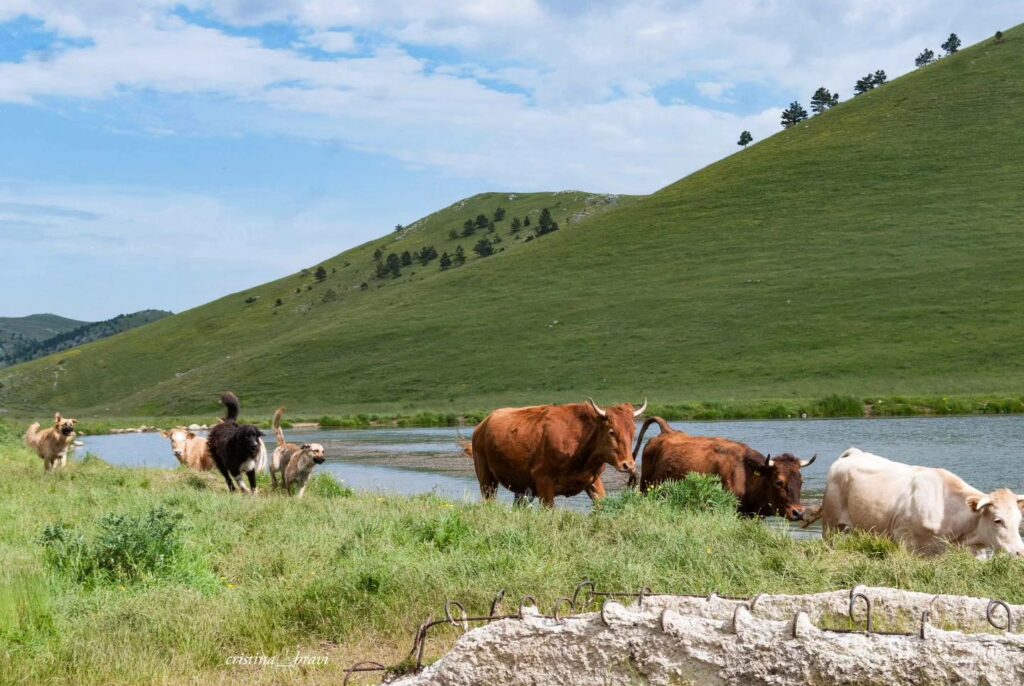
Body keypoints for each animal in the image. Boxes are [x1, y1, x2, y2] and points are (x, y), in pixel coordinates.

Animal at [466, 401, 643, 507]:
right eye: (612, 431)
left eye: (633, 431)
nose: (628, 464)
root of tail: (482, 425)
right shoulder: (543, 482)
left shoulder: (592, 480)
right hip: (486, 479)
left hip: (521, 489)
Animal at [630, 415, 815, 524]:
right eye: (778, 482)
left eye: (801, 481)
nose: (798, 513)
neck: (745, 474)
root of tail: (667, 431)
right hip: (645, 488)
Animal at [815, 450, 1024, 556]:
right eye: (998, 520)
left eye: (1019, 521)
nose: (1019, 552)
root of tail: (854, 453)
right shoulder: (905, 540)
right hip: (830, 525)